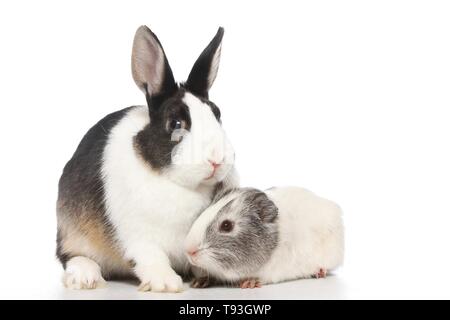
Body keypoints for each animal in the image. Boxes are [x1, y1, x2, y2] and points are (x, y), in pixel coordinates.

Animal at [56, 25, 239, 292]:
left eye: (217, 114)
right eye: (175, 124)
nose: (216, 159)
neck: (183, 185)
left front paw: (204, 277)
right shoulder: (139, 238)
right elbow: (152, 257)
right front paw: (166, 284)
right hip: (73, 232)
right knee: (69, 256)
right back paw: (86, 277)